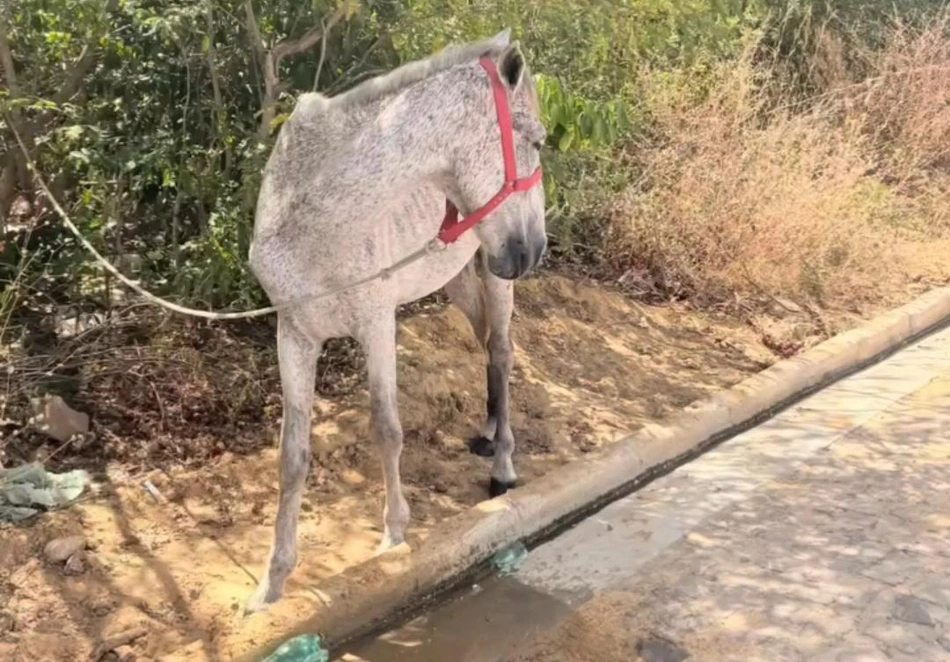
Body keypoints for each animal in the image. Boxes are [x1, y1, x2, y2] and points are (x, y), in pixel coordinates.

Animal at [247, 29, 547, 610]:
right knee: (484, 342)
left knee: (501, 351)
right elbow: (291, 457)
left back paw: (502, 465)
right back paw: (488, 431)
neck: (317, 223)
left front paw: (393, 537)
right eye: (538, 142)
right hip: (464, 276)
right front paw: (272, 584)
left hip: (495, 273)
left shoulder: (376, 324)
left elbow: (386, 429)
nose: (536, 248)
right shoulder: (293, 335)